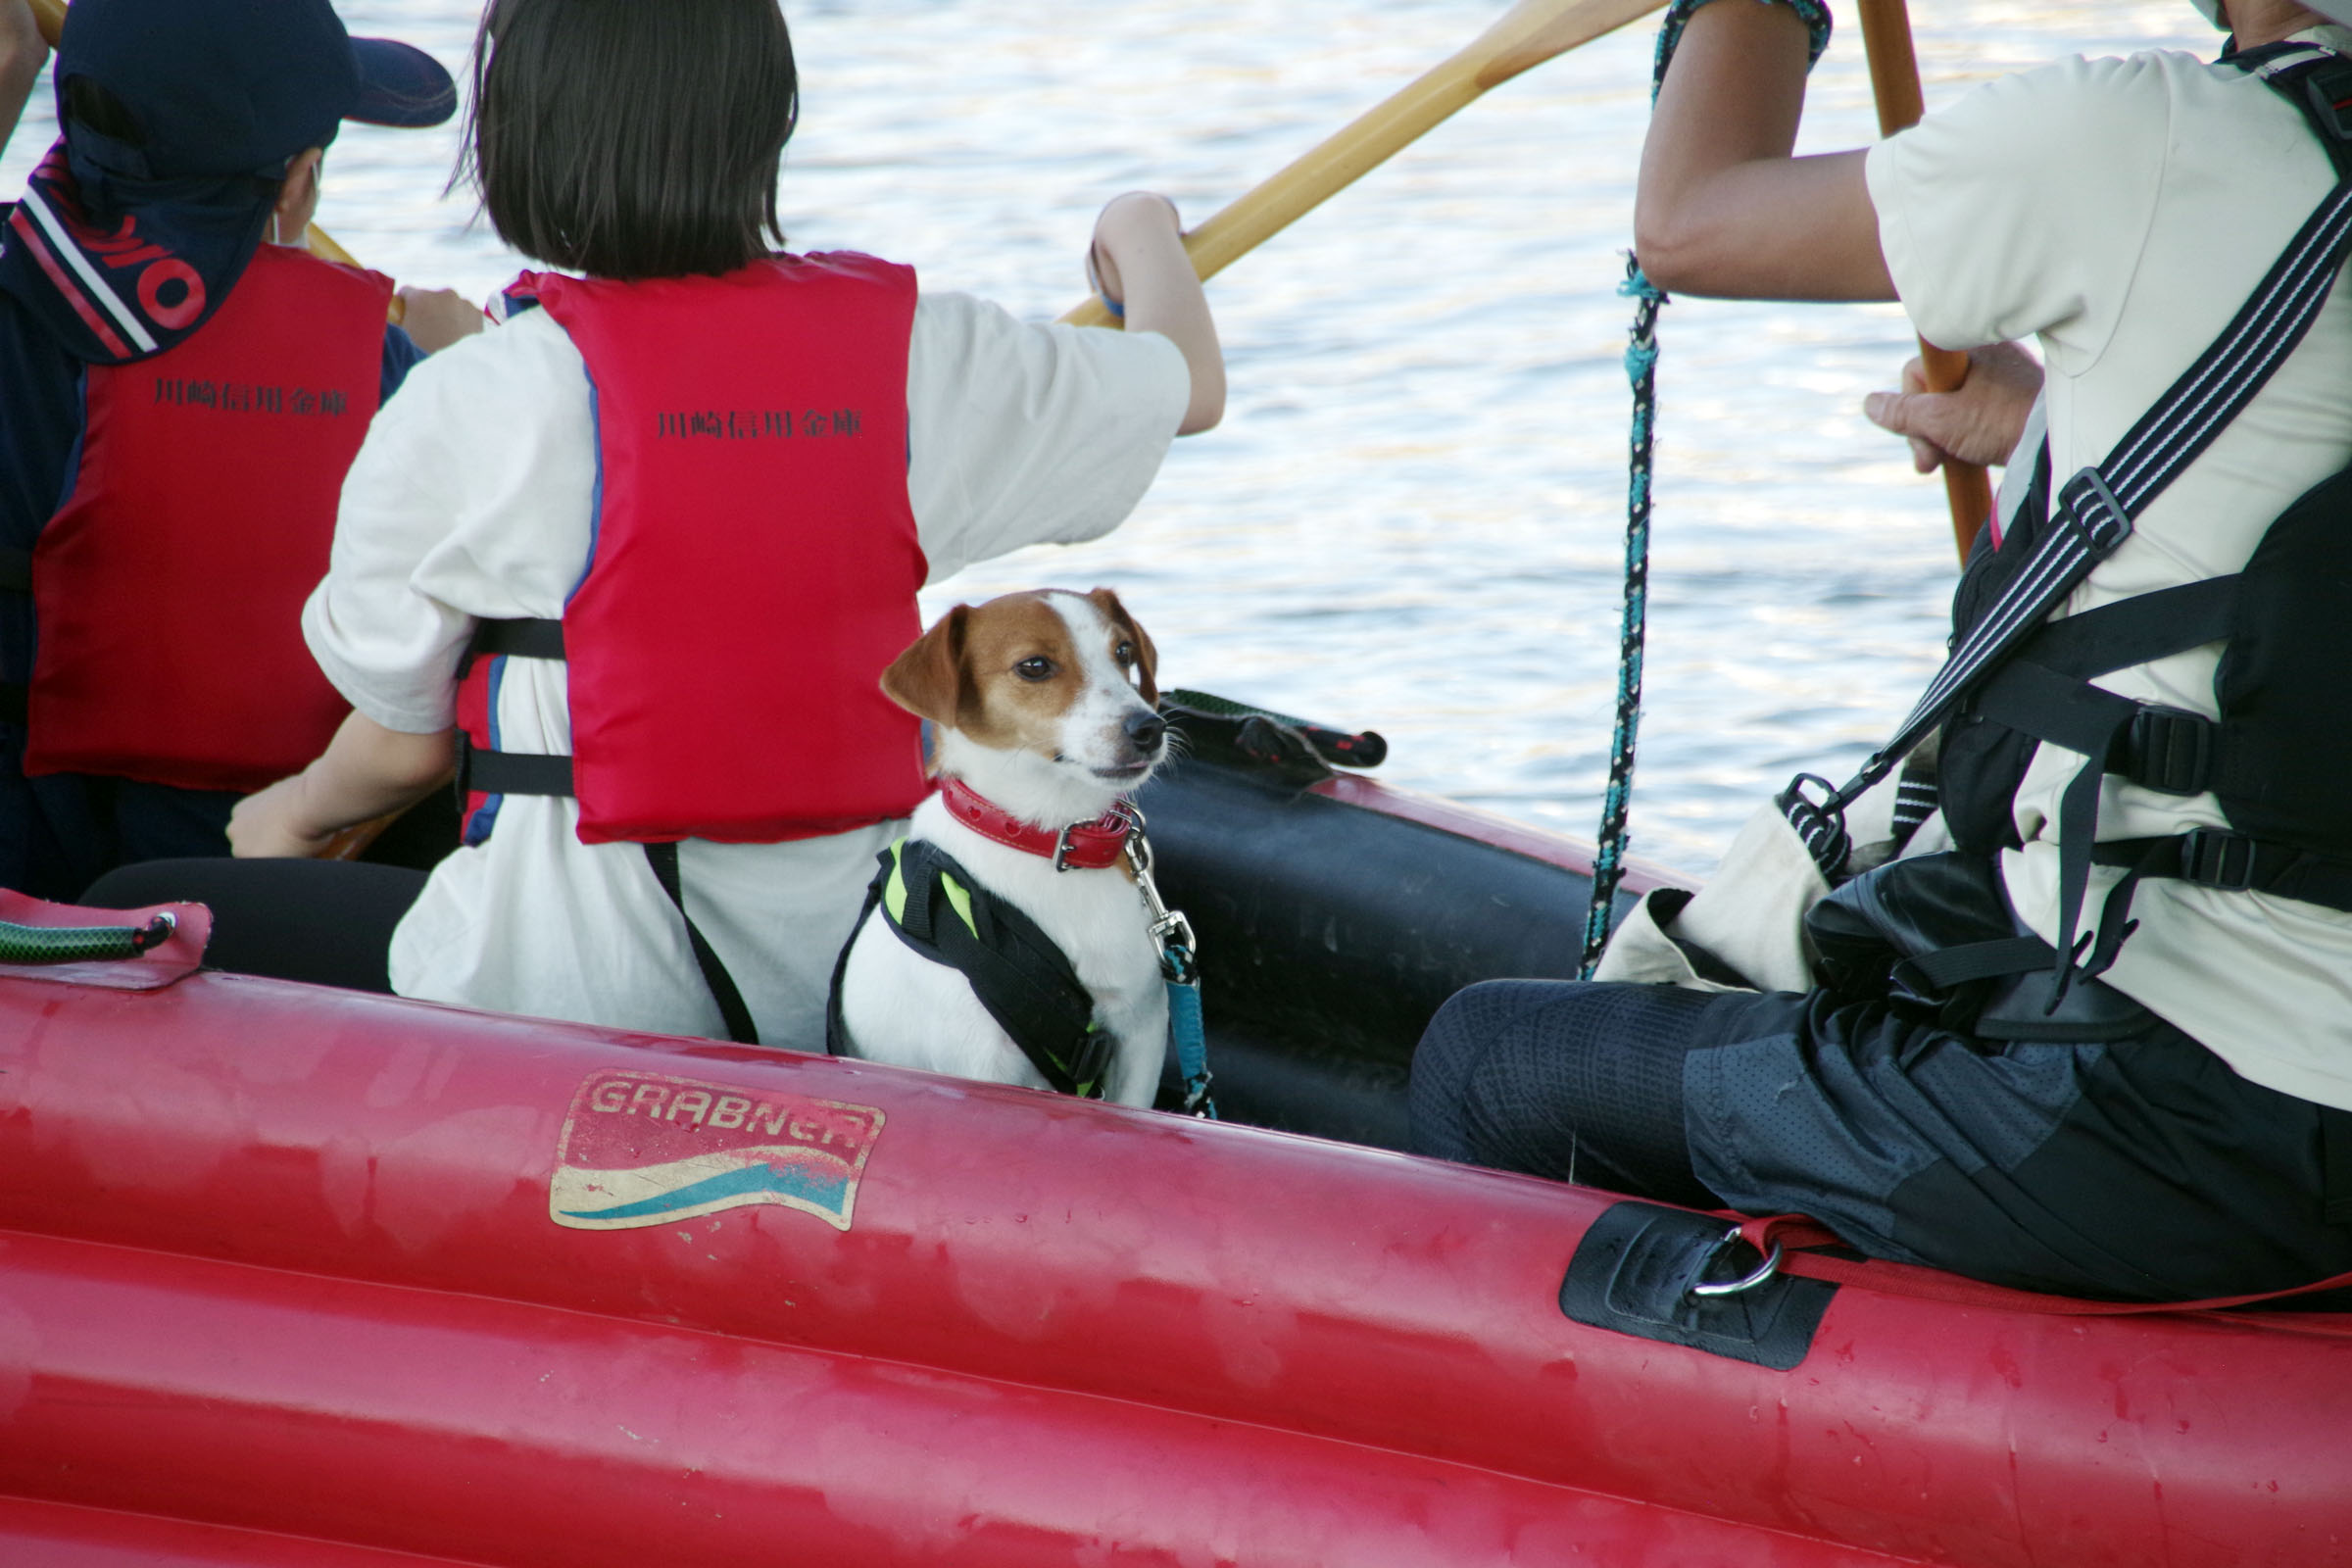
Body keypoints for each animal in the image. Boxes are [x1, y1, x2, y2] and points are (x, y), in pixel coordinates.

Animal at [837, 585, 1185, 1104]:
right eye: (1034, 666)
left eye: (1123, 652)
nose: (1149, 728)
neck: (1050, 840)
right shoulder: (984, 1067)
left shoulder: (1141, 1030)